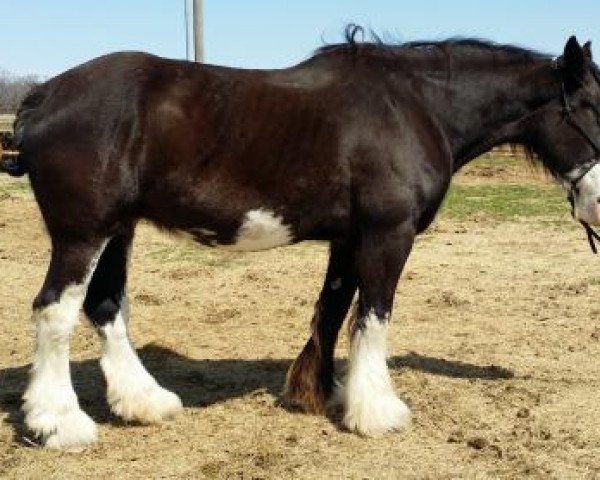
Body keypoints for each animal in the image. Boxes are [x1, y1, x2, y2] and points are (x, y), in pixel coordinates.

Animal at [3, 30, 600, 450]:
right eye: (594, 107)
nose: (598, 201)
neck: (414, 107)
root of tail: (42, 97)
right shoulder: (388, 234)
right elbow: (373, 316)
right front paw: (376, 411)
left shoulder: (349, 239)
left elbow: (332, 309)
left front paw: (321, 393)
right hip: (83, 233)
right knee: (56, 311)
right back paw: (60, 425)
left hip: (119, 229)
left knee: (105, 305)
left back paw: (145, 402)